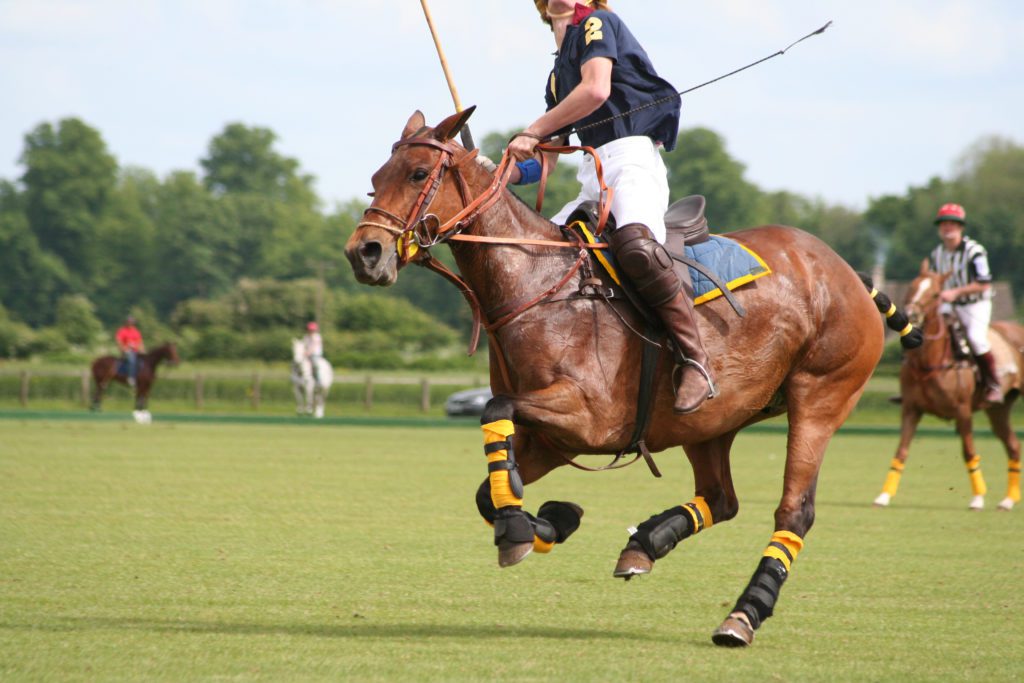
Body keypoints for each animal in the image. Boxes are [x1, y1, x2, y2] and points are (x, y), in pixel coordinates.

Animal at [346, 109, 921, 651]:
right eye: (375, 178)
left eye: (419, 172)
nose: (364, 253)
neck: (535, 283)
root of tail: (847, 270)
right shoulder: (553, 439)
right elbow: (489, 490)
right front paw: (550, 520)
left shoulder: (587, 417)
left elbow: (494, 411)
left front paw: (521, 529)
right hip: (714, 418)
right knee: (722, 497)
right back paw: (644, 544)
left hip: (820, 396)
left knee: (794, 511)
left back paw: (742, 616)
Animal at [872, 264, 1024, 509]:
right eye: (912, 286)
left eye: (935, 294)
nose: (911, 315)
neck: (929, 362)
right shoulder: (911, 409)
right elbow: (901, 450)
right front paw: (883, 496)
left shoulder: (962, 411)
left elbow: (969, 451)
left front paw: (978, 498)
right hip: (998, 410)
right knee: (1013, 445)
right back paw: (1008, 500)